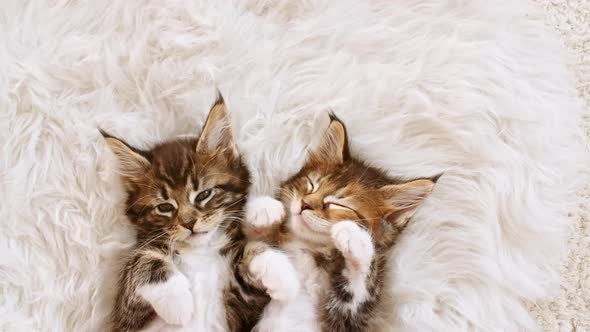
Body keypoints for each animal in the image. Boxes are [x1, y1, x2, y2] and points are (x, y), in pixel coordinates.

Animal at [103, 94, 274, 330]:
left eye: (204, 195)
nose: (189, 223)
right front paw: (175, 300)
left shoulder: (244, 309)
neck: (200, 251)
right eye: (165, 207)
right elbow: (143, 258)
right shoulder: (127, 314)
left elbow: (252, 252)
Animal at [243, 115, 442, 332]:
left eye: (338, 203)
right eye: (311, 184)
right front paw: (265, 212)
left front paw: (354, 237)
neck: (308, 246)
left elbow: (361, 284)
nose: (304, 204)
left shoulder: (349, 319)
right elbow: (251, 247)